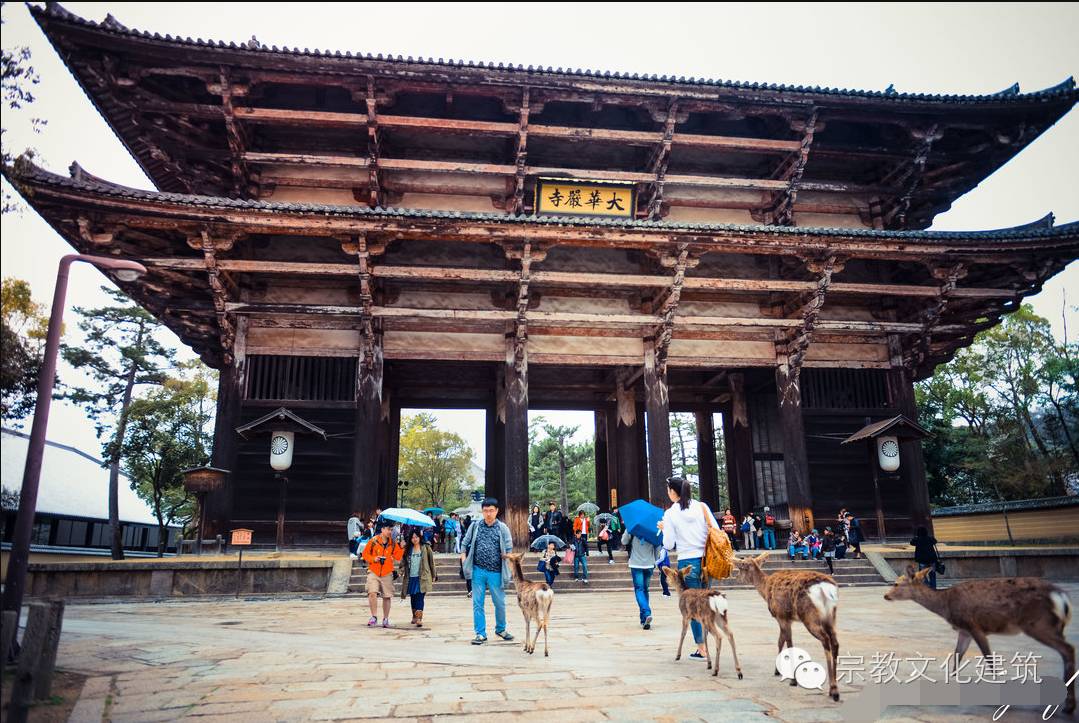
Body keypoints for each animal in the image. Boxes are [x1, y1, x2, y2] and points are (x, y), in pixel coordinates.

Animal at [733, 556, 841, 703]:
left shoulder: (781, 615)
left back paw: (833, 690)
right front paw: (777, 670)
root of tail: (824, 588)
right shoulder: (786, 619)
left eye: (741, 567)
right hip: (830, 616)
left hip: (809, 615)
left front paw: (792, 680)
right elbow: (781, 641)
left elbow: (787, 643)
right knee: (835, 642)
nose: (736, 577)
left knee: (825, 640)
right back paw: (833, 690)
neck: (765, 588)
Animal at [884, 569, 1070, 716]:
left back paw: (1068, 706)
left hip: (1036, 623)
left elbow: (989, 659)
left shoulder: (974, 626)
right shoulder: (964, 631)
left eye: (896, 583)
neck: (946, 605)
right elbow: (957, 656)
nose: (886, 595)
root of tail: (1061, 596)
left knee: (1068, 649)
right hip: (1053, 626)